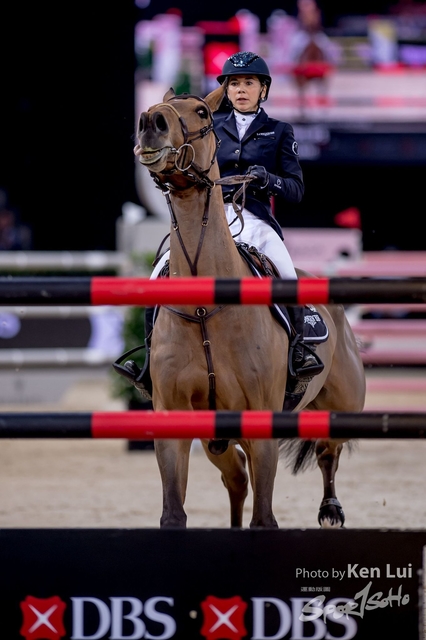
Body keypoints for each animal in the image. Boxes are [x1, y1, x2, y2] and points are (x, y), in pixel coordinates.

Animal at [133, 85, 366, 528]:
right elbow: (174, 513)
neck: (205, 314)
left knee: (328, 450)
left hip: (344, 404)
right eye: (155, 108)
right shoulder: (175, 423)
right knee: (238, 478)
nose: (150, 123)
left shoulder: (262, 428)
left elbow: (264, 518)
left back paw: (331, 508)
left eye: (202, 112)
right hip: (218, 439)